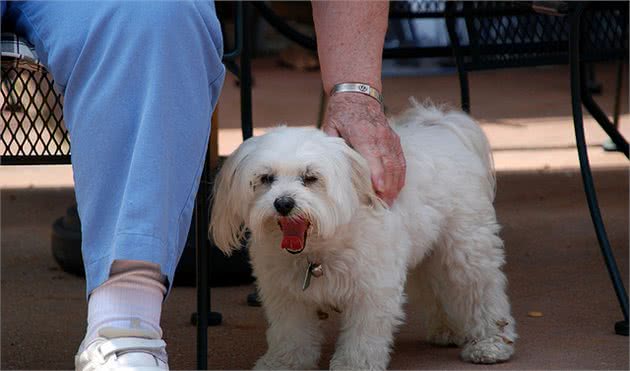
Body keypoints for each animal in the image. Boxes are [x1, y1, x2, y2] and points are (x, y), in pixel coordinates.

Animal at [212, 102, 520, 371]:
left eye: (310, 178)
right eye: (265, 178)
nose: (283, 203)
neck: (319, 250)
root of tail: (441, 127)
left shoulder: (372, 290)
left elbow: (363, 336)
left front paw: (353, 365)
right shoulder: (287, 297)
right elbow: (291, 335)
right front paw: (282, 364)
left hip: (465, 249)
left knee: (480, 291)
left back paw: (491, 343)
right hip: (427, 252)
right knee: (436, 286)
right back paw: (447, 329)